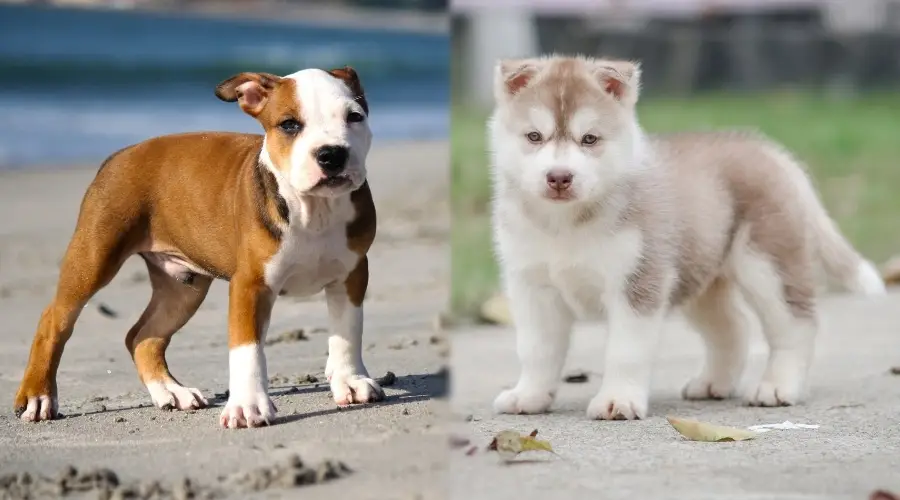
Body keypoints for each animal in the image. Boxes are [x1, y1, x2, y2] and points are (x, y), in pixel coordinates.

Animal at [11, 64, 384, 428]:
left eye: (354, 117)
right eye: (289, 125)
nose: (332, 154)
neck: (314, 210)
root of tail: (121, 154)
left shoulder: (352, 275)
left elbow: (347, 331)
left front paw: (350, 380)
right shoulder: (251, 285)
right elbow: (247, 350)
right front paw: (248, 406)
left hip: (182, 289)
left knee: (142, 337)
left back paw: (171, 392)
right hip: (93, 257)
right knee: (54, 320)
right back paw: (37, 396)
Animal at [488, 54, 884, 422]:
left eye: (590, 139)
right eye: (534, 137)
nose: (559, 177)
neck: (565, 224)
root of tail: (767, 148)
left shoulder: (638, 283)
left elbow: (625, 351)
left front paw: (617, 400)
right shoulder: (532, 287)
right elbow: (536, 349)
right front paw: (529, 396)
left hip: (768, 263)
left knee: (796, 325)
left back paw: (778, 386)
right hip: (701, 276)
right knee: (734, 328)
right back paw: (713, 383)